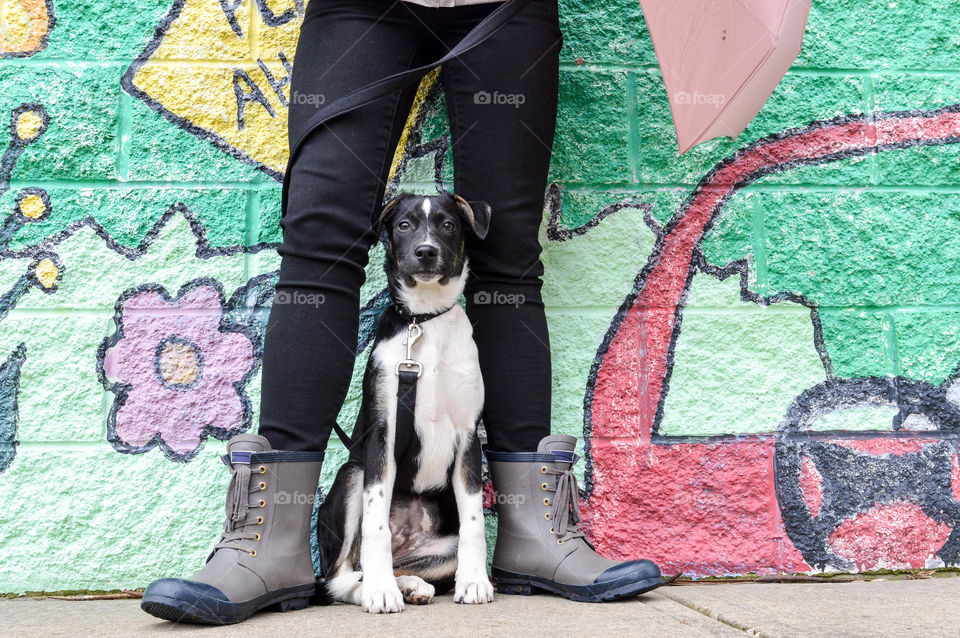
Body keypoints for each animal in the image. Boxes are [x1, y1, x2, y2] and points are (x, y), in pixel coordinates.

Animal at [318, 191, 496, 616]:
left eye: (448, 224)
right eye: (404, 225)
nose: (426, 251)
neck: (424, 318)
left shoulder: (469, 437)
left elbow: (474, 522)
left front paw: (474, 582)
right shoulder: (382, 436)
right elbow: (376, 524)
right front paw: (381, 592)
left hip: (439, 549)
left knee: (391, 566)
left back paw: (412, 584)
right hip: (352, 473)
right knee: (341, 576)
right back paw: (378, 587)